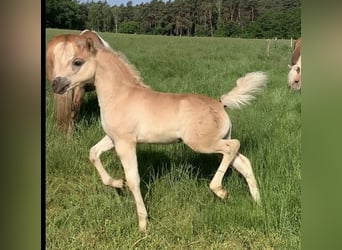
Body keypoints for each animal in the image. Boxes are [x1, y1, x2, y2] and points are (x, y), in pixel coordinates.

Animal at [48, 33, 268, 230]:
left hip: (202, 144)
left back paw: (220, 191)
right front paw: (118, 183)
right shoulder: (112, 138)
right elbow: (93, 153)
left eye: (77, 62)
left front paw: (143, 224)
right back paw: (258, 203)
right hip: (216, 141)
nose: (55, 84)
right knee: (243, 162)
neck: (120, 95)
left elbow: (134, 179)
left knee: (233, 147)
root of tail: (221, 104)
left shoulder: (125, 143)